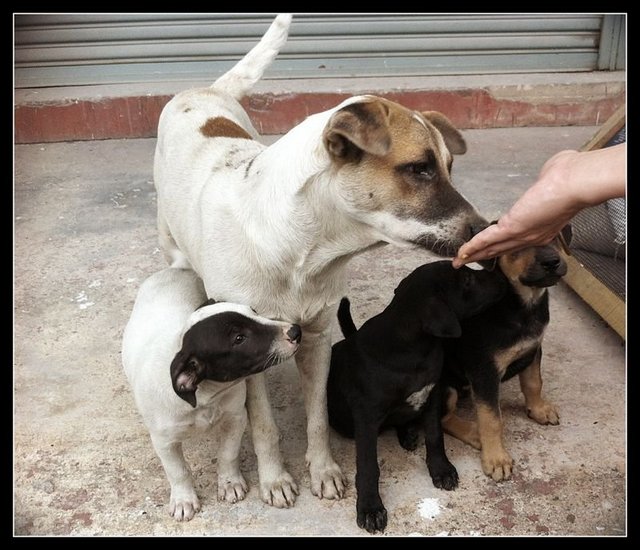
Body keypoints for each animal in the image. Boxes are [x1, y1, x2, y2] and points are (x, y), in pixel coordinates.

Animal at [121, 268, 302, 520]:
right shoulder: (163, 441)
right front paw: (183, 499)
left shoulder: (236, 418)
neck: (205, 396)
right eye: (239, 339)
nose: (296, 331)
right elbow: (178, 471)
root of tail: (174, 269)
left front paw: (229, 483)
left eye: (254, 312)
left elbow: (228, 453)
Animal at [152, 12, 488, 508]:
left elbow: (317, 418)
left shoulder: (316, 337)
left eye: (449, 166)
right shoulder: (251, 356)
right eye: (420, 168)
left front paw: (324, 469)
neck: (299, 248)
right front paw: (274, 479)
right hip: (172, 247)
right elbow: (264, 426)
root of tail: (203, 91)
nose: (485, 229)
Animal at [328, 262, 508, 536]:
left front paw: (441, 469)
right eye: (467, 279)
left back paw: (408, 432)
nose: (500, 274)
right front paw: (370, 508)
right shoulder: (367, 418)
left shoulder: (432, 395)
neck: (414, 349)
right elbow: (368, 465)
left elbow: (435, 436)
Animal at [440, 229, 568, 484]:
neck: (523, 306)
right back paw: (474, 433)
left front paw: (538, 409)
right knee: (444, 419)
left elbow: (533, 383)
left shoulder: (533, 349)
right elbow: (491, 418)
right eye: (517, 244)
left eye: (554, 236)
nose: (552, 262)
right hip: (445, 388)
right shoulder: (485, 372)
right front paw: (496, 459)